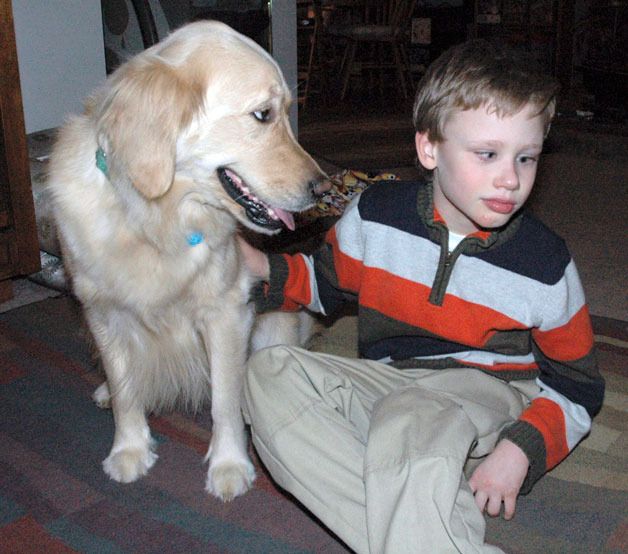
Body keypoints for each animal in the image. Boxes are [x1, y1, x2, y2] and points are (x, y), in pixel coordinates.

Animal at [46, 21, 326, 498]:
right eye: (263, 115)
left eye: (287, 111)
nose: (323, 188)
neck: (154, 220)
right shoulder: (103, 313)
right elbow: (126, 391)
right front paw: (129, 449)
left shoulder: (226, 312)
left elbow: (225, 402)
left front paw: (229, 464)